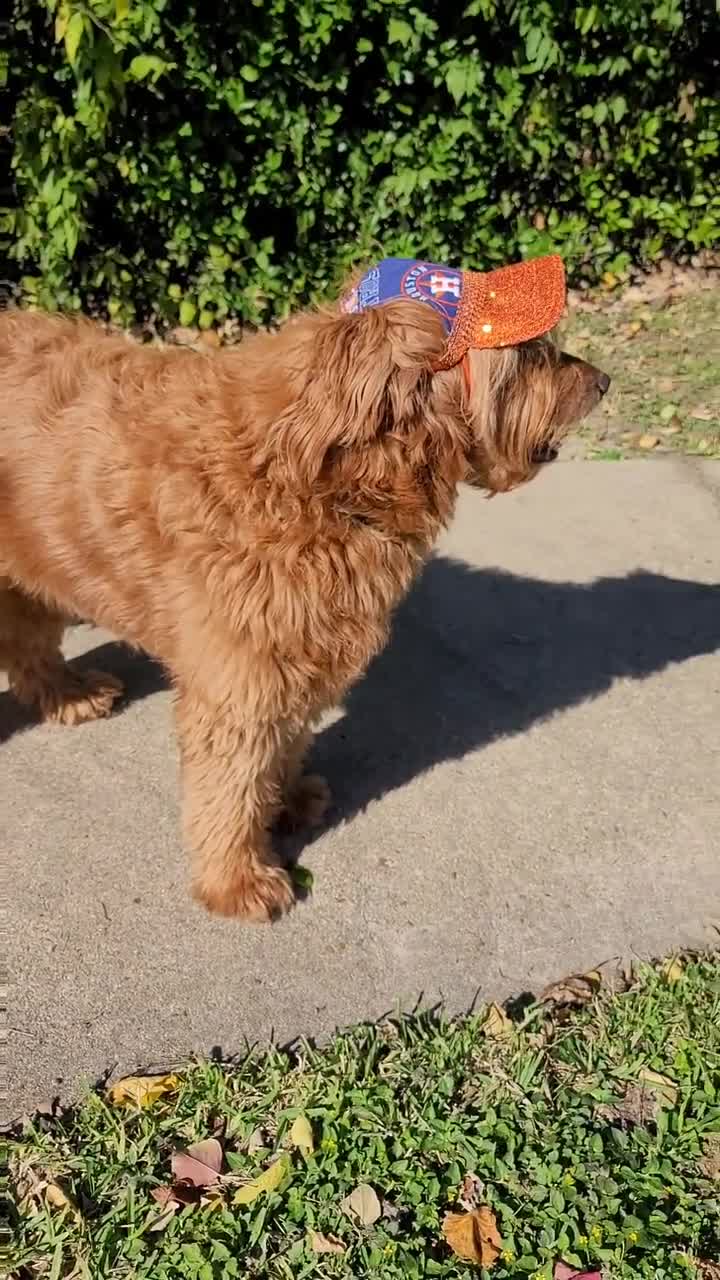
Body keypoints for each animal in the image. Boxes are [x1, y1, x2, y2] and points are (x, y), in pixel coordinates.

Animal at [0, 254, 604, 926]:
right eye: (528, 355)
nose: (603, 381)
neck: (320, 479)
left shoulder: (302, 650)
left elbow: (283, 744)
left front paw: (284, 802)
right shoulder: (240, 679)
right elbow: (230, 783)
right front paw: (237, 879)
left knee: (26, 642)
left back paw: (68, 694)